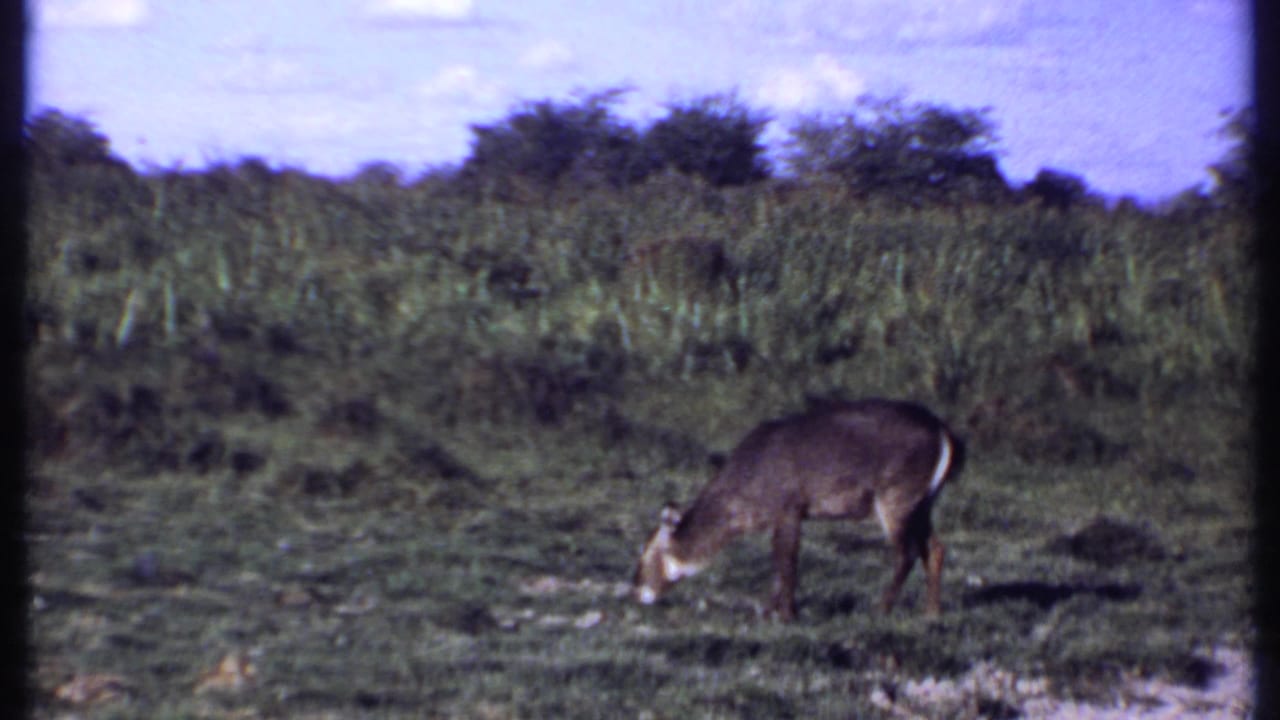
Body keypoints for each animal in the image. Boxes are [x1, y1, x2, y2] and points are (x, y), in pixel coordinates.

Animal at [633, 399, 964, 621]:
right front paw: (770, 611)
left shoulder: (789, 509)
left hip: (895, 500)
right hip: (923, 503)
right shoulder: (787, 516)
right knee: (935, 549)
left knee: (907, 553)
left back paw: (881, 608)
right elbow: (780, 564)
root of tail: (943, 431)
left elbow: (787, 563)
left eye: (646, 553)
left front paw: (786, 614)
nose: (636, 591)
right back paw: (932, 612)